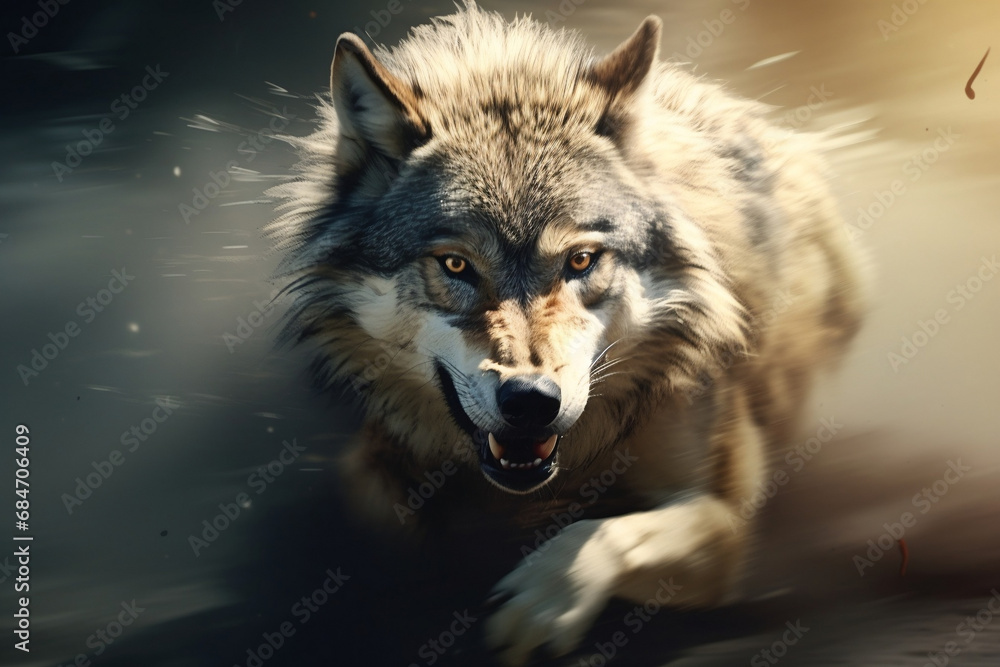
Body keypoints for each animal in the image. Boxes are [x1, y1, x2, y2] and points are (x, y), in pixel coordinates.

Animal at [266, 2, 864, 664]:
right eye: (456, 265)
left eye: (580, 260)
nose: (531, 401)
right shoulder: (380, 450)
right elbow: (370, 499)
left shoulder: (723, 524)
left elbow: (599, 533)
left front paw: (542, 598)